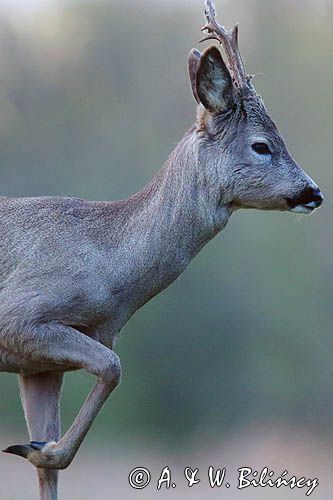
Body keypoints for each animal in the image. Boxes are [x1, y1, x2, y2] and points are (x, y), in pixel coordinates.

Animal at [0, 0, 322, 500]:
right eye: (262, 145)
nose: (313, 192)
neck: (108, 263)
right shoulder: (20, 316)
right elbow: (114, 367)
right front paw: (35, 448)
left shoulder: (38, 366)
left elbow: (48, 471)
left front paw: (38, 448)